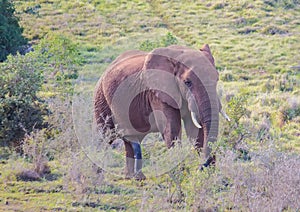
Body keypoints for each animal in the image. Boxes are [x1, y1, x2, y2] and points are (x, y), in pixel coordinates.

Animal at [94, 44, 230, 180]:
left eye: (216, 79)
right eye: (188, 82)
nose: (199, 169)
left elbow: (195, 131)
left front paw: (209, 177)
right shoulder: (157, 92)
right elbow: (171, 128)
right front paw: (180, 175)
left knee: (132, 139)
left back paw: (135, 178)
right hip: (101, 98)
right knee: (104, 136)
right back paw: (98, 177)